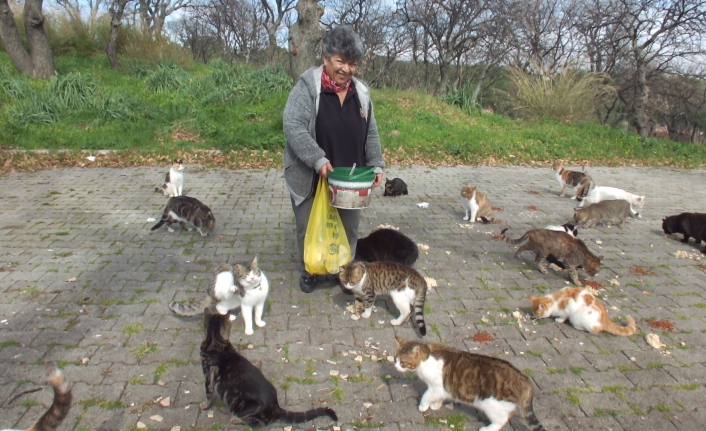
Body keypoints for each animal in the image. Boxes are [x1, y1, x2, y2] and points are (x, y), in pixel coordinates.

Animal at [198, 308, 336, 426]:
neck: (215, 342)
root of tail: (276, 406)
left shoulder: (207, 376)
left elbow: (208, 395)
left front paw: (205, 406)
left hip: (243, 408)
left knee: (258, 423)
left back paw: (236, 420)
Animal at [394, 338, 540, 431]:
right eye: (395, 359)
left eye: (402, 362)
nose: (395, 367)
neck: (427, 358)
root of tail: (523, 378)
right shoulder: (443, 389)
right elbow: (440, 397)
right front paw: (436, 405)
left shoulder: (436, 387)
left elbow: (426, 396)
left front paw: (423, 406)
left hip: (493, 405)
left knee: (502, 419)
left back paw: (488, 429)